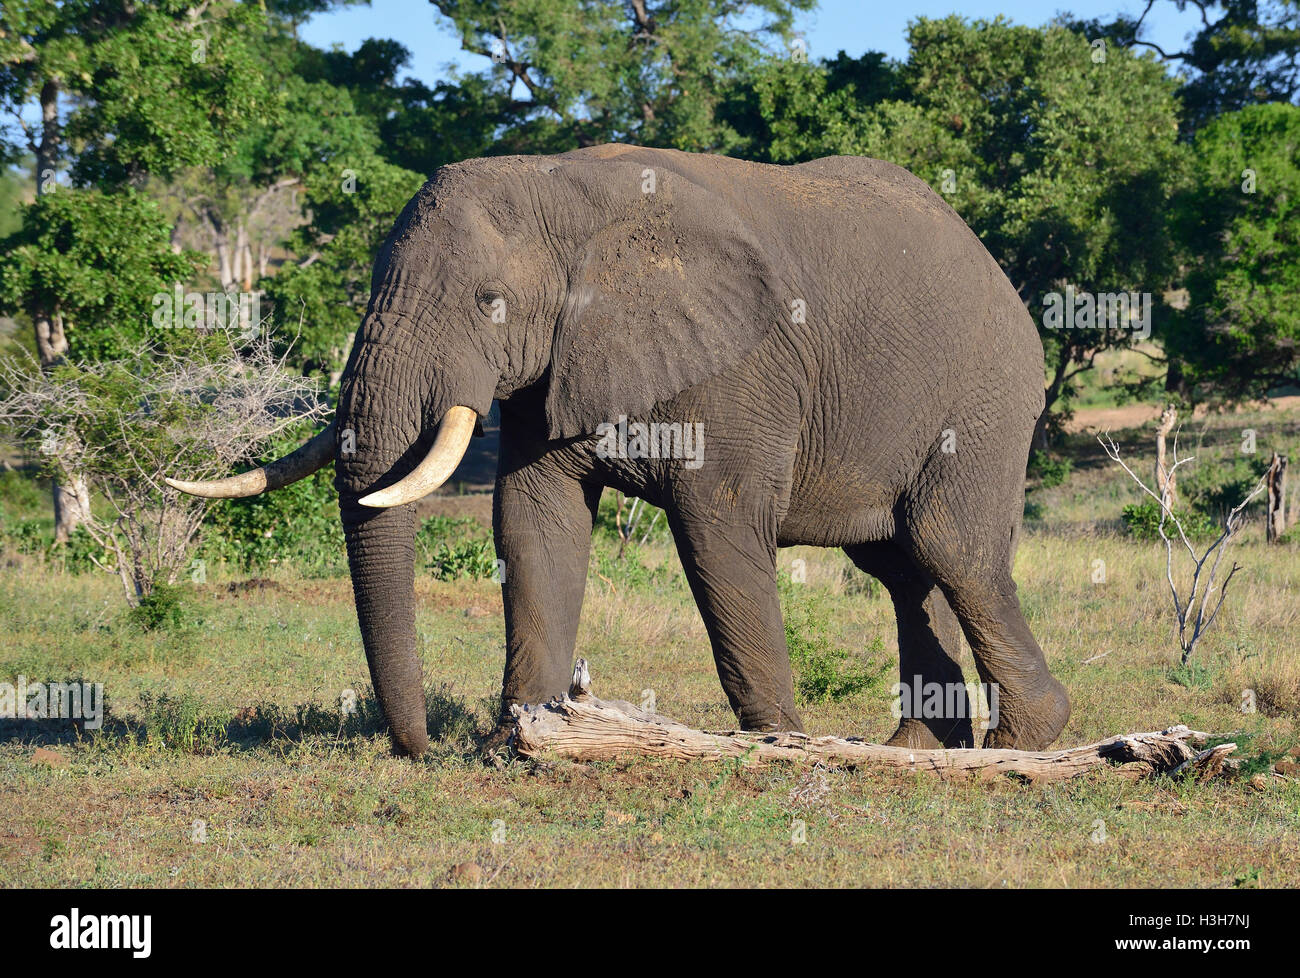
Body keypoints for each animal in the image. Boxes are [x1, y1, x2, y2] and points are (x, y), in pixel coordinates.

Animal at [167, 144, 1070, 758]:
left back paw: (1025, 744)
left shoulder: (739, 365)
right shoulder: (551, 368)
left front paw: (779, 748)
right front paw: (523, 741)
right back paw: (918, 752)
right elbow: (536, 524)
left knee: (949, 547)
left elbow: (719, 531)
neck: (559, 188)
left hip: (985, 398)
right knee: (900, 568)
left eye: (488, 302)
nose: (417, 749)